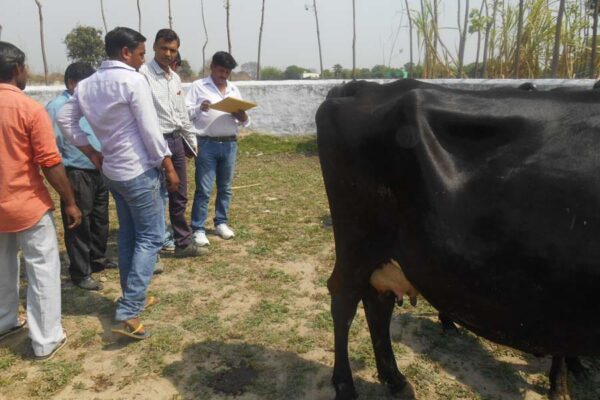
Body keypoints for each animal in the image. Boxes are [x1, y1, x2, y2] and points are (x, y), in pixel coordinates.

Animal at [316, 79, 600, 400]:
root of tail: (362, 88)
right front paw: (560, 387)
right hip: (358, 242)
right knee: (344, 299)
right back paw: (346, 386)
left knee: (378, 302)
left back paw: (395, 378)